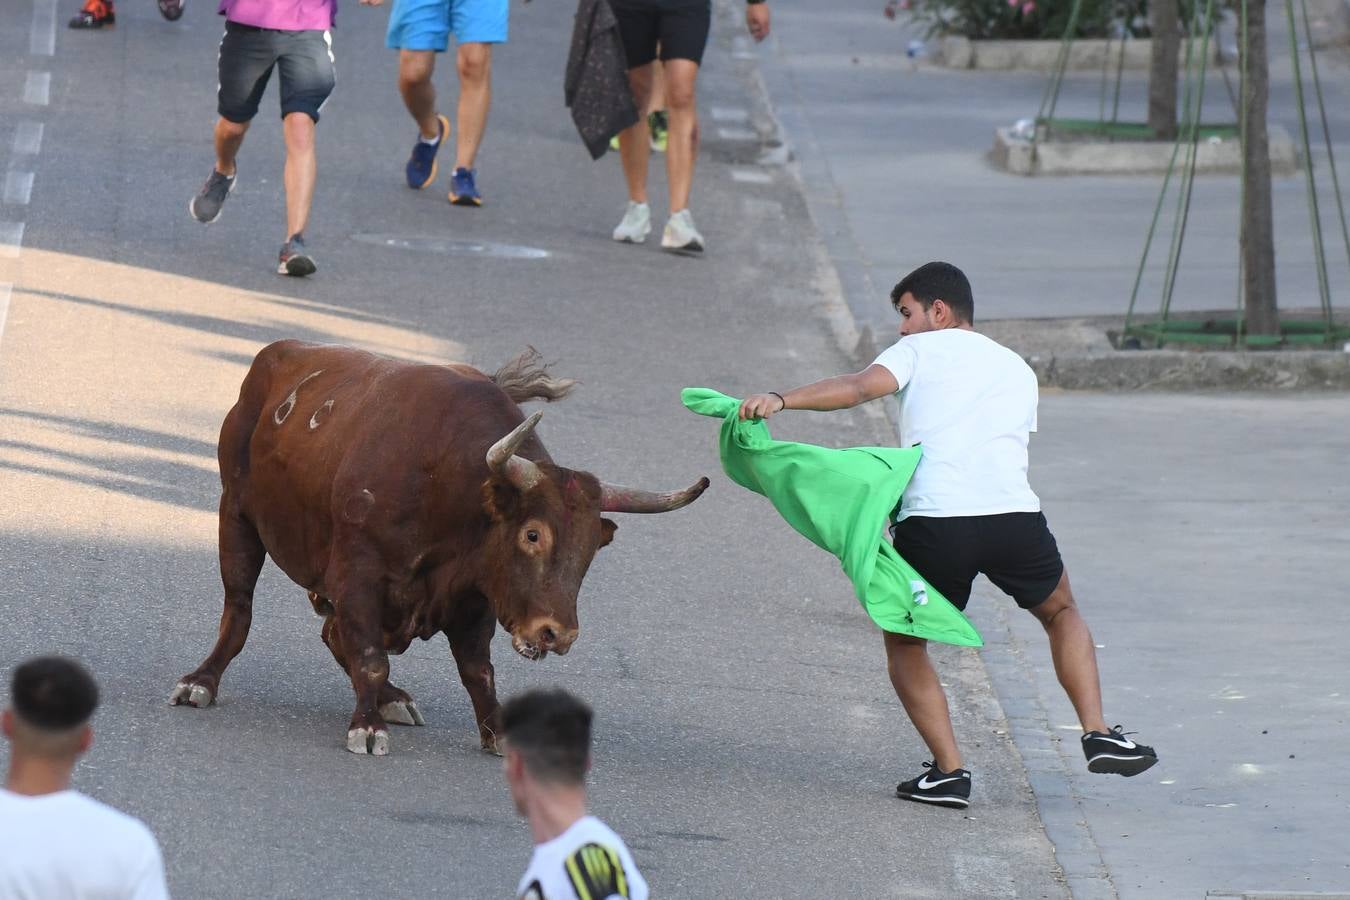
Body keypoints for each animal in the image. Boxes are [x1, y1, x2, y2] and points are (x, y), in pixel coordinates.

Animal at [168, 341, 707, 755]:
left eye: (592, 547)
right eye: (532, 534)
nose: (557, 634)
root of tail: (277, 357)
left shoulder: (476, 597)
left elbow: (477, 670)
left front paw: (497, 733)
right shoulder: (357, 576)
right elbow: (369, 655)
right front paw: (367, 727)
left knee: (331, 633)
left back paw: (391, 697)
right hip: (235, 515)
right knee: (240, 608)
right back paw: (201, 682)